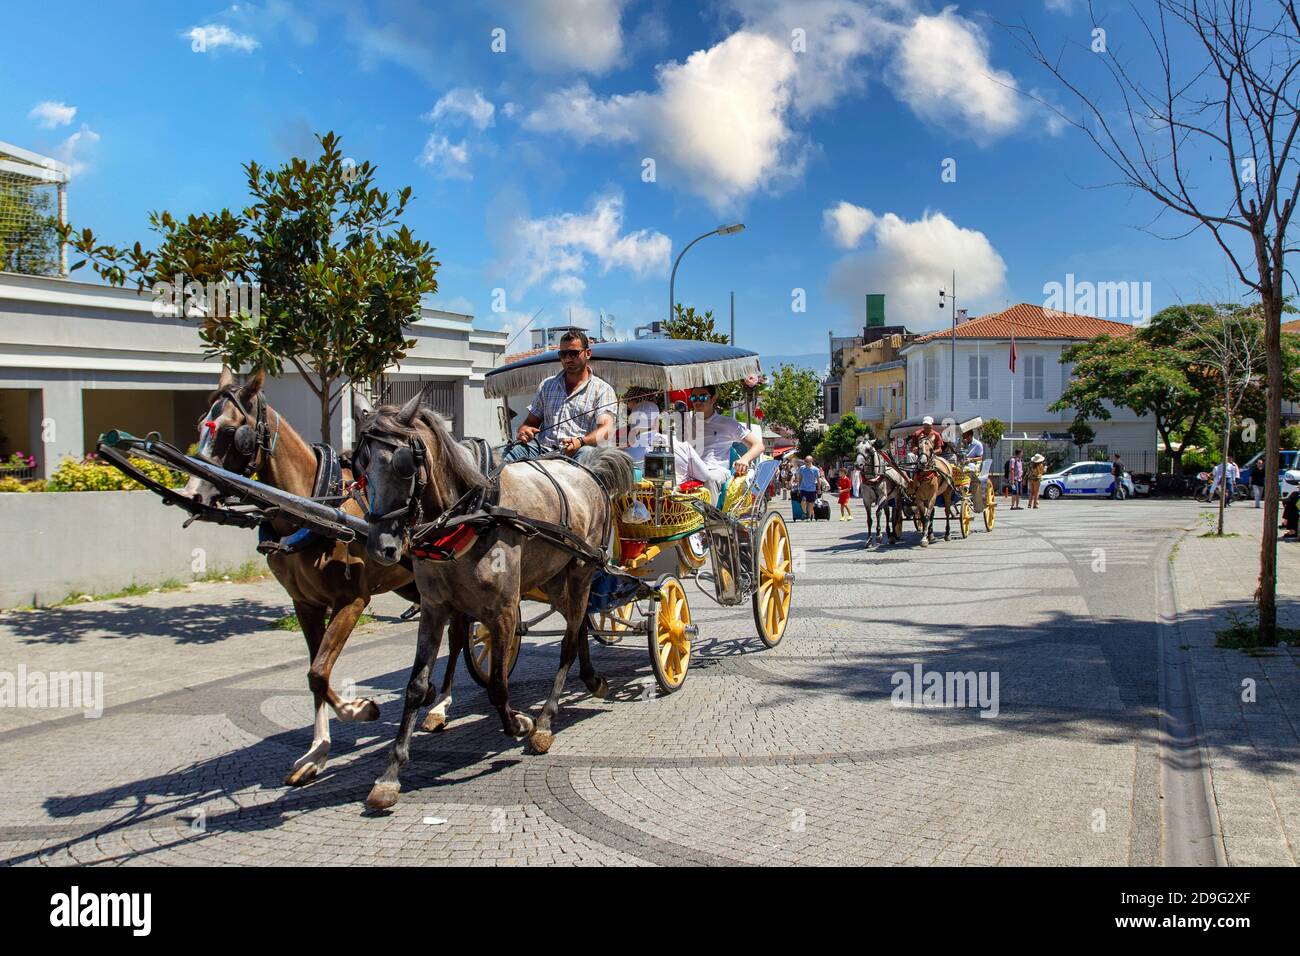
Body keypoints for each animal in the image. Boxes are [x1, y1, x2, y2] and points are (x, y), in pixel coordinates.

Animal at [185, 366, 426, 785]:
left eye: (233, 432)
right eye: (201, 425)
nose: (193, 494)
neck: (312, 508)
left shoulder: (352, 601)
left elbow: (318, 671)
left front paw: (360, 709)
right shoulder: (305, 604)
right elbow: (316, 674)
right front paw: (318, 751)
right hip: (413, 583)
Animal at [351, 392, 634, 811]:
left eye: (404, 465)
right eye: (359, 466)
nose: (381, 547)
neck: (468, 513)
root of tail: (588, 472)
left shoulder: (502, 610)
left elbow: (498, 687)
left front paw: (521, 723)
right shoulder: (434, 609)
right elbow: (416, 686)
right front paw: (390, 775)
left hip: (583, 568)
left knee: (568, 641)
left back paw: (546, 721)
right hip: (555, 576)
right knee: (579, 621)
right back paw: (591, 679)